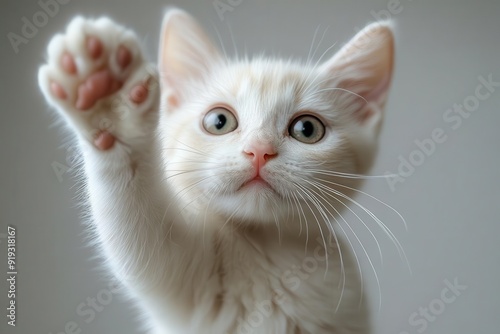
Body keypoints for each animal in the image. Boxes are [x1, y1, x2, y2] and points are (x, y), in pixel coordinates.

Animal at [38, 7, 394, 334]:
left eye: (307, 129)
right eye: (219, 121)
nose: (259, 150)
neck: (266, 250)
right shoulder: (180, 273)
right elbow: (139, 233)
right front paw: (105, 94)